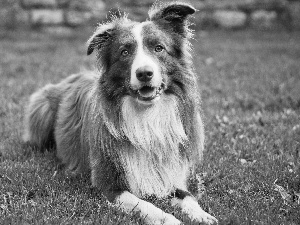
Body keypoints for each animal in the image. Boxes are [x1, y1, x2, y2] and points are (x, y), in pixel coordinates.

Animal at [22, 2, 217, 225]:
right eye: (124, 52)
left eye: (159, 48)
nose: (144, 73)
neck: (146, 117)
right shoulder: (109, 185)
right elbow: (144, 204)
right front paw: (168, 219)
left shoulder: (173, 175)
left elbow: (188, 197)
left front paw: (201, 214)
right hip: (41, 108)